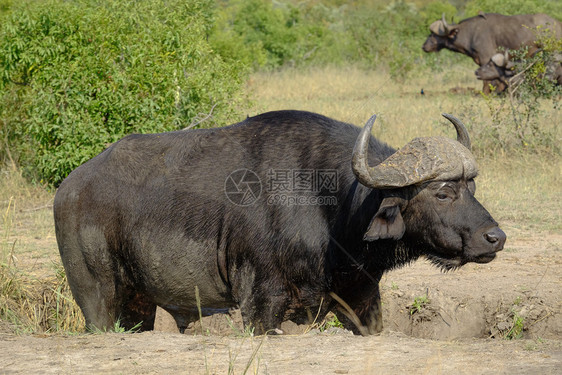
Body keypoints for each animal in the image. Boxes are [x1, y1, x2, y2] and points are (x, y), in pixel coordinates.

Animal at [54, 110, 506, 336]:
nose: (495, 237)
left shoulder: (361, 298)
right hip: (97, 300)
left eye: (471, 185)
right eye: (442, 192)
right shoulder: (261, 305)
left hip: (139, 305)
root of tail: (69, 188)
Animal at [422, 12, 556, 93]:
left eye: (433, 34)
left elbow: (486, 79)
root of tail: (557, 23)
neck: (471, 33)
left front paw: (487, 93)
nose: (424, 46)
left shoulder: (485, 58)